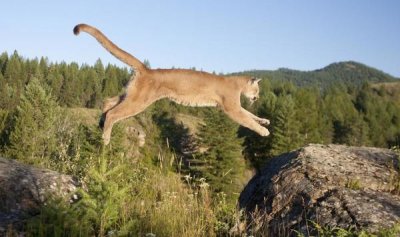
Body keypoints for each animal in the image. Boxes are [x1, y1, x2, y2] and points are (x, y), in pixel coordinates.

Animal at [73, 23, 270, 144]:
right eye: (257, 89)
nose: (258, 97)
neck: (238, 83)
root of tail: (146, 69)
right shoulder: (231, 108)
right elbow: (247, 119)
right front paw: (263, 131)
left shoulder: (235, 106)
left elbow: (250, 115)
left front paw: (264, 121)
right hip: (139, 100)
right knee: (113, 113)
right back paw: (105, 138)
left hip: (130, 94)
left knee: (108, 102)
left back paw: (100, 124)